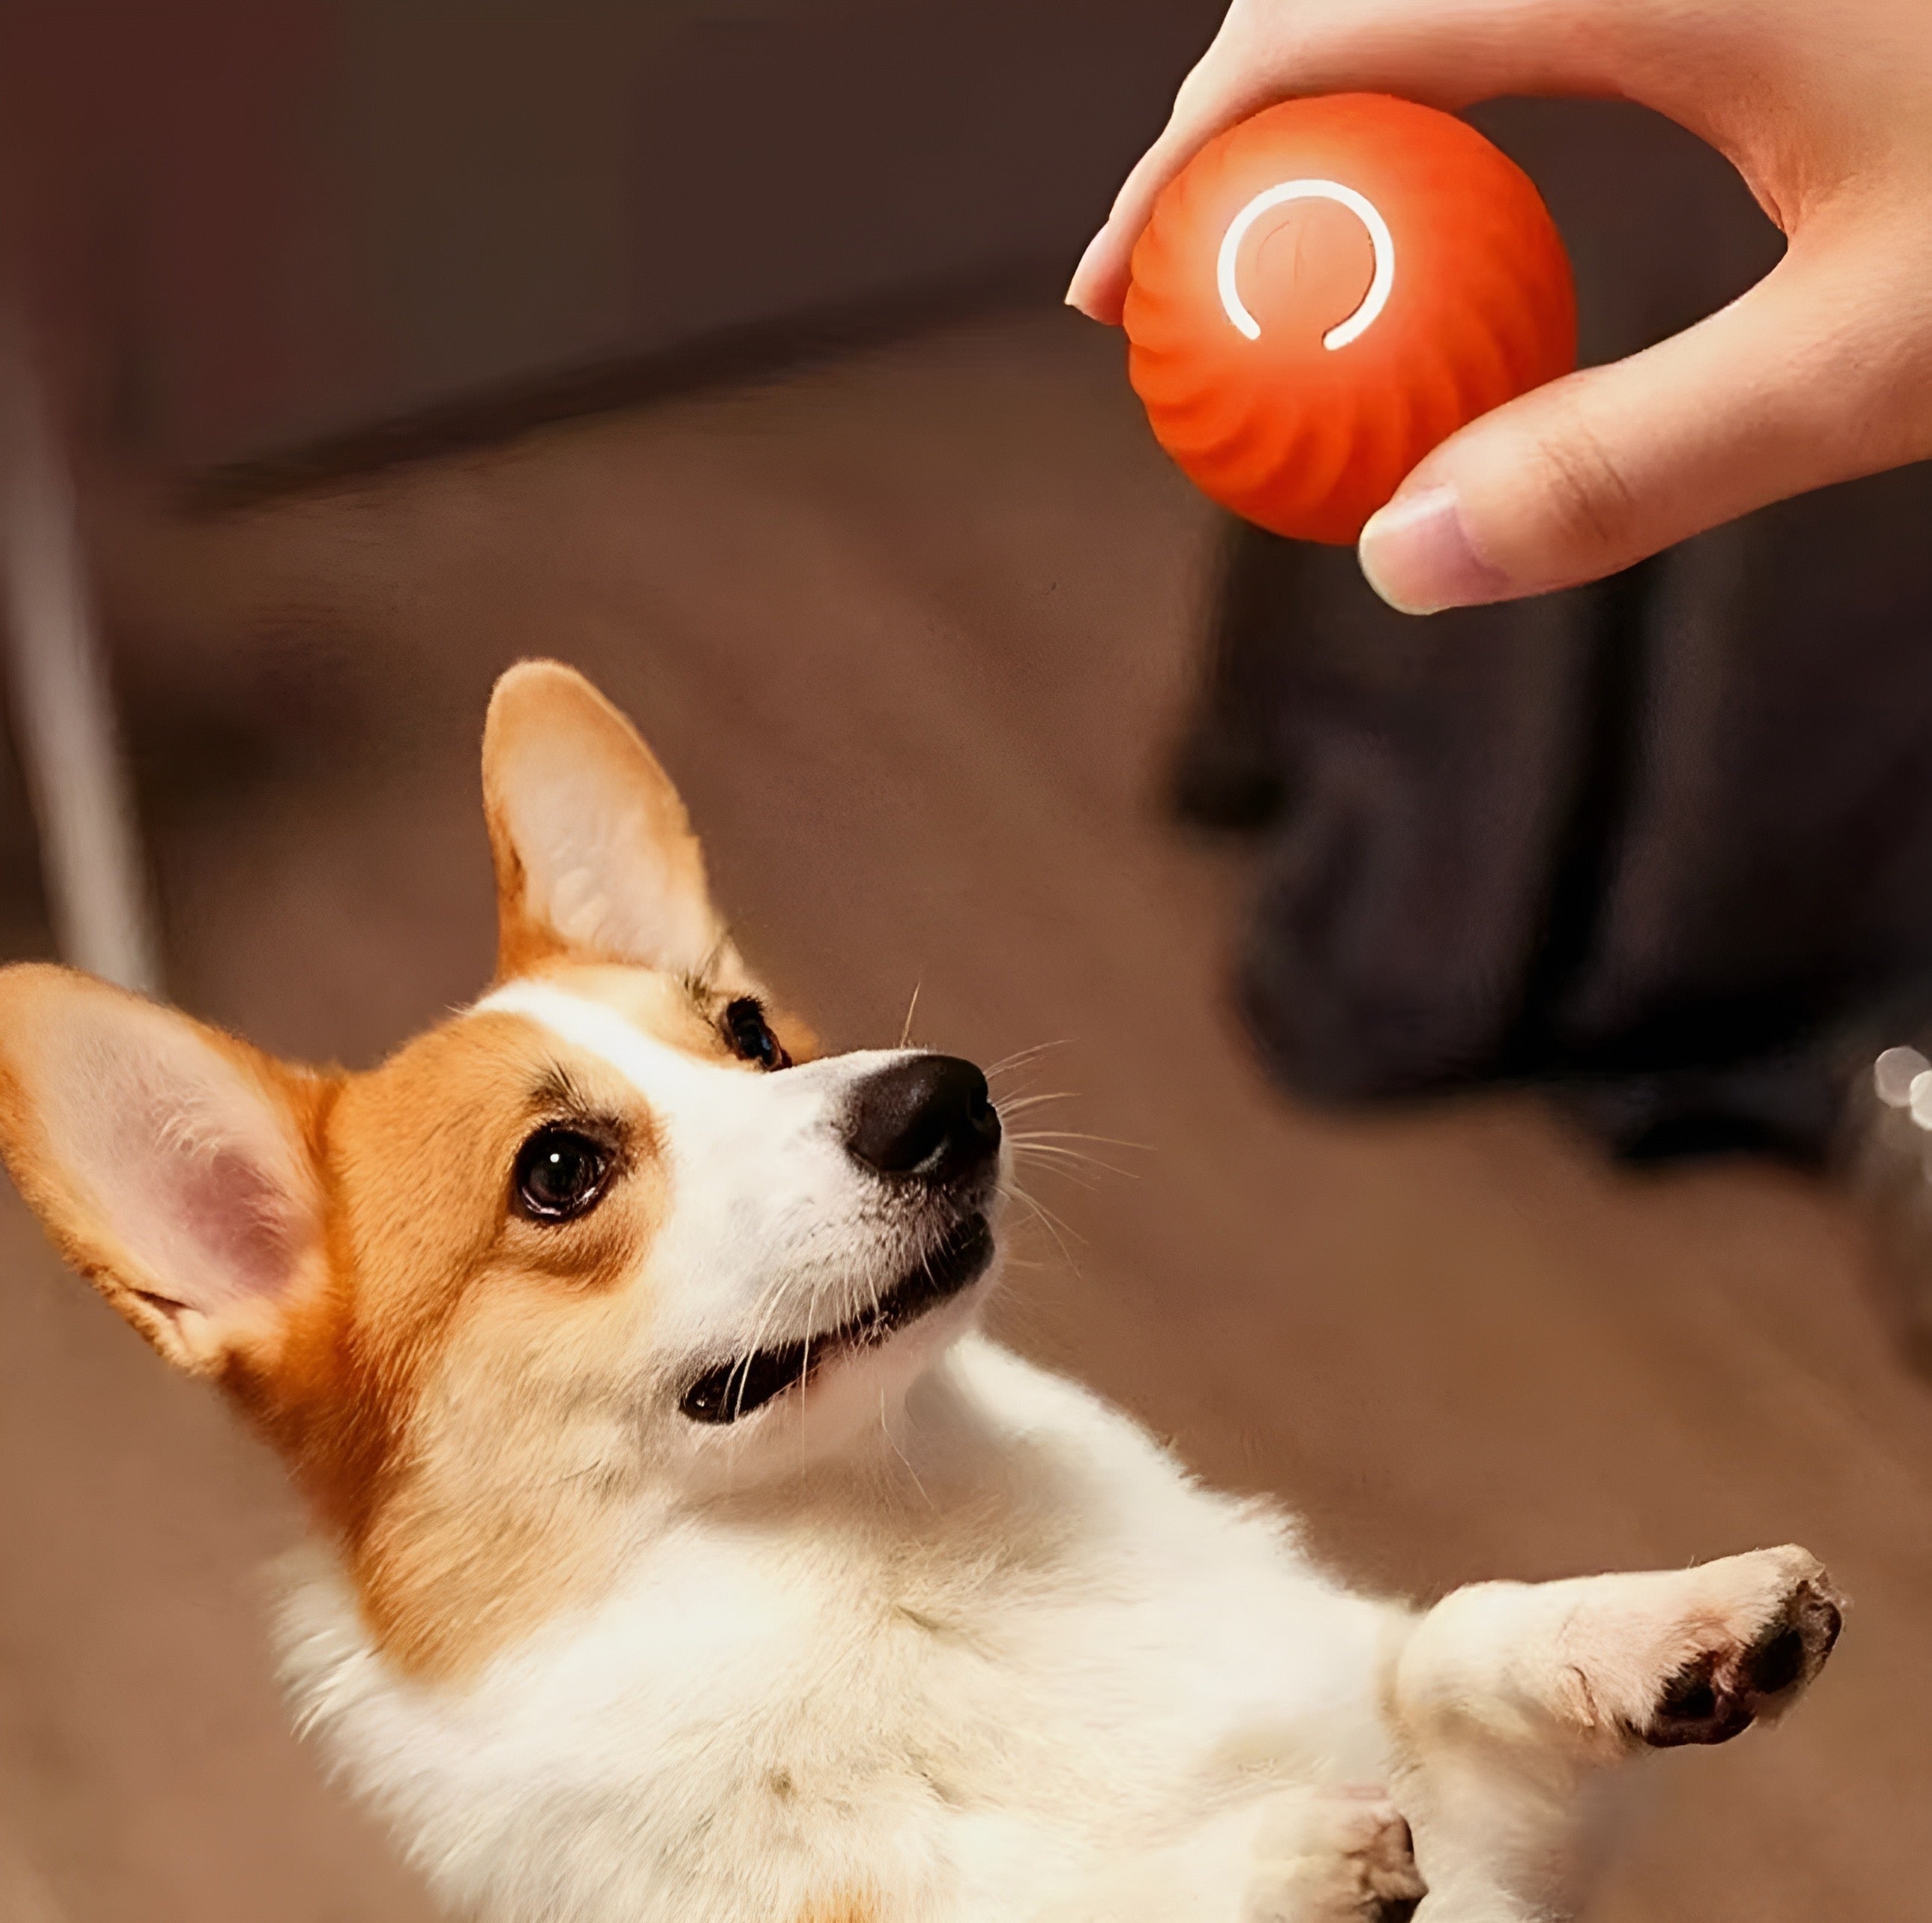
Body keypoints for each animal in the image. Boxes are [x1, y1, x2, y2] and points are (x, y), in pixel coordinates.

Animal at [0, 664, 1839, 1923]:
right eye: (561, 1172)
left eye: (749, 1031)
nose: (946, 1098)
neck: (896, 1549)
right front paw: (1264, 1862)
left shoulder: (1497, 1833)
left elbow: (1452, 1640)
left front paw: (1683, 1623)